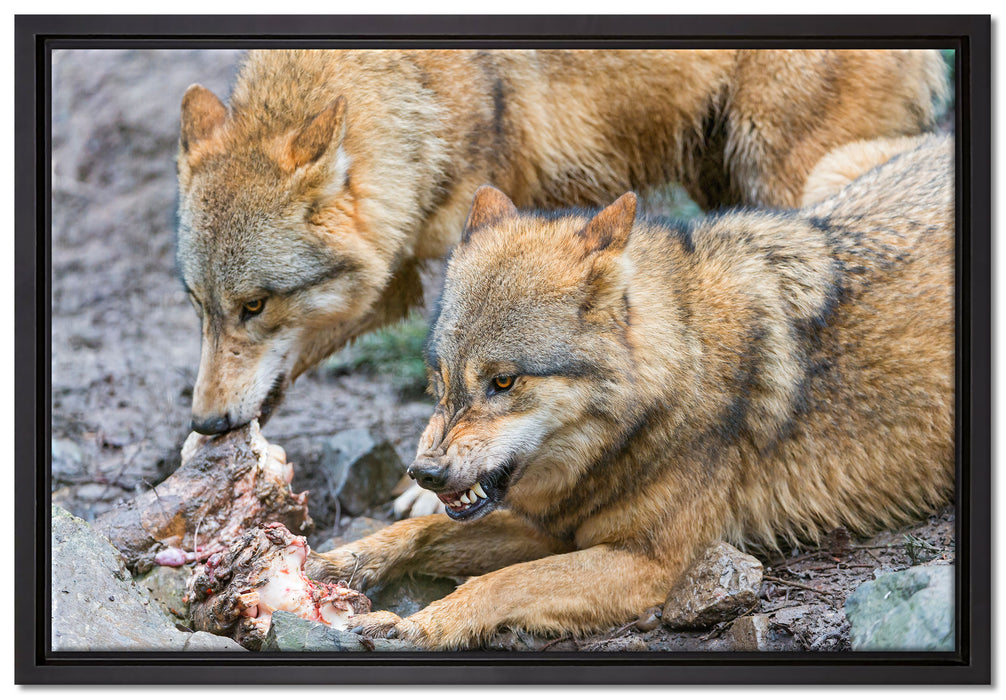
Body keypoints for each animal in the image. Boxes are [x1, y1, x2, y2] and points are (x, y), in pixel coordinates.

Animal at [176, 49, 947, 443]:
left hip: (789, 176)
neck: (420, 96)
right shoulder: (396, 271)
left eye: (255, 305)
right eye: (200, 307)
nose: (206, 422)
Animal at [309, 133, 955, 649]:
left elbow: (501, 582)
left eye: (503, 381)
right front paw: (339, 561)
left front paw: (419, 624)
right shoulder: (551, 528)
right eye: (441, 380)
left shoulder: (650, 564)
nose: (425, 472)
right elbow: (422, 533)